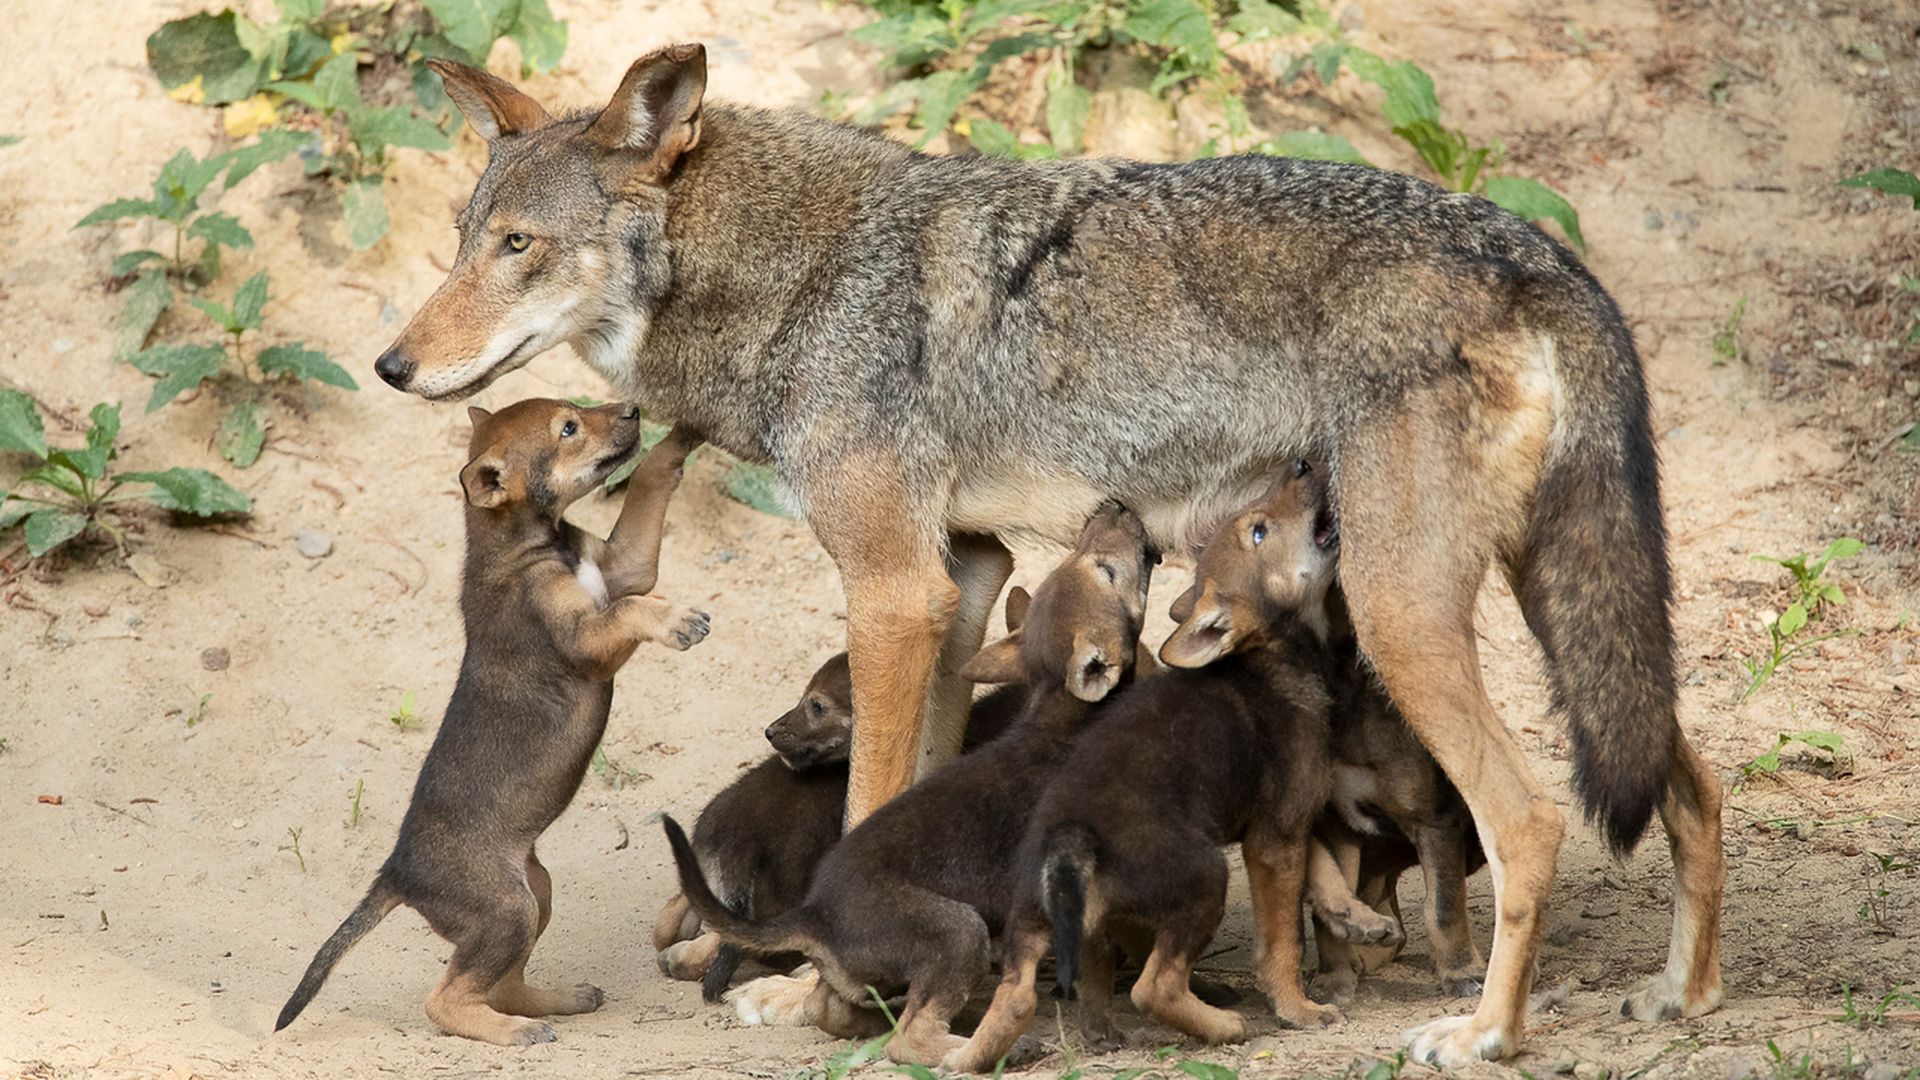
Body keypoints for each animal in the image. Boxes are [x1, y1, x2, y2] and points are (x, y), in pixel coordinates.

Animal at [372, 45, 1724, 1064]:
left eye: (518, 248)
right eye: (463, 238)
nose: (390, 366)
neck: (803, 282)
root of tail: (1540, 252)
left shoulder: (893, 592)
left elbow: (862, 804)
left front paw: (809, 997)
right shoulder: (963, 583)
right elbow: (908, 792)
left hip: (1407, 617)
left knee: (1532, 817)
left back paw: (1484, 1033)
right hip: (1562, 616)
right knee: (1689, 783)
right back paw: (1683, 997)